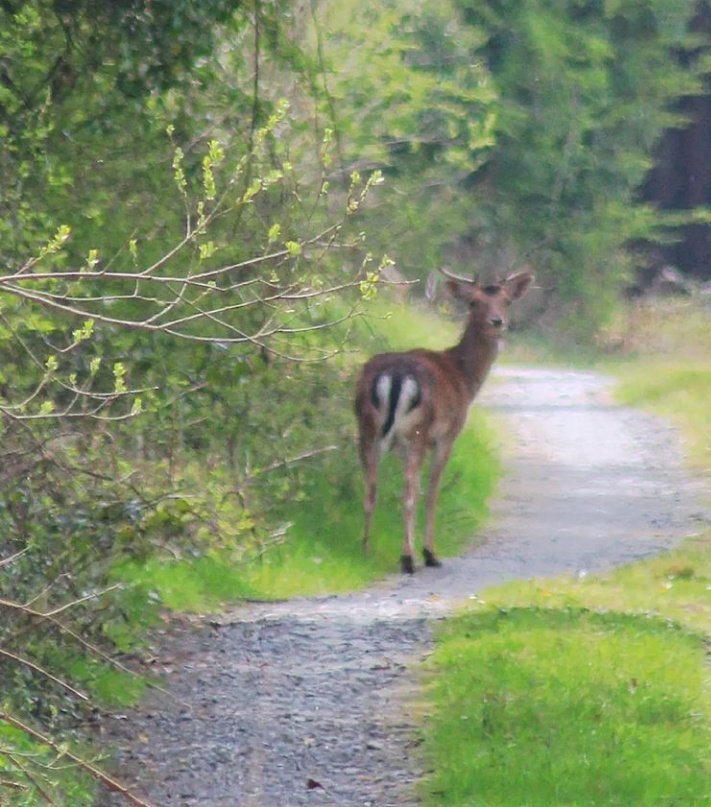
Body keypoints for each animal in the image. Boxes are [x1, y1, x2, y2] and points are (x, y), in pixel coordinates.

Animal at [356, 272, 536, 576]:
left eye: (507, 301)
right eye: (474, 302)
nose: (497, 321)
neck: (464, 378)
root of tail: (394, 375)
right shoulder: (446, 436)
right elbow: (433, 492)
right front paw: (430, 553)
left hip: (366, 427)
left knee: (371, 487)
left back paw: (366, 550)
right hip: (416, 432)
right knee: (410, 492)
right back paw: (409, 559)